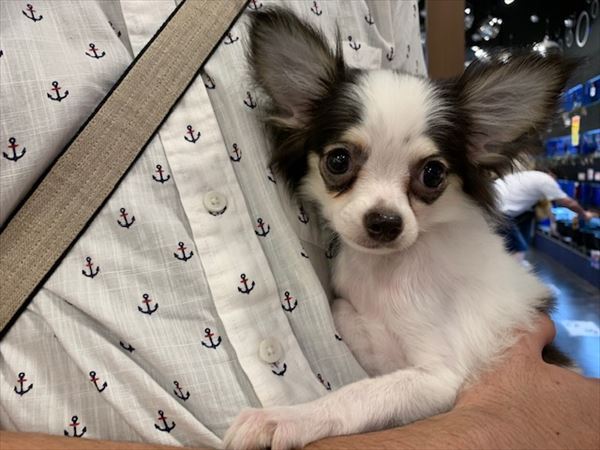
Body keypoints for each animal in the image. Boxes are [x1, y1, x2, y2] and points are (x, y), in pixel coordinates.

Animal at [223, 7, 575, 450]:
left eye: (433, 173)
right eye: (338, 161)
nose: (385, 222)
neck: (388, 273)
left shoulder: (436, 379)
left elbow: (358, 394)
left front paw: (285, 417)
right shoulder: (378, 339)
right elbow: (343, 311)